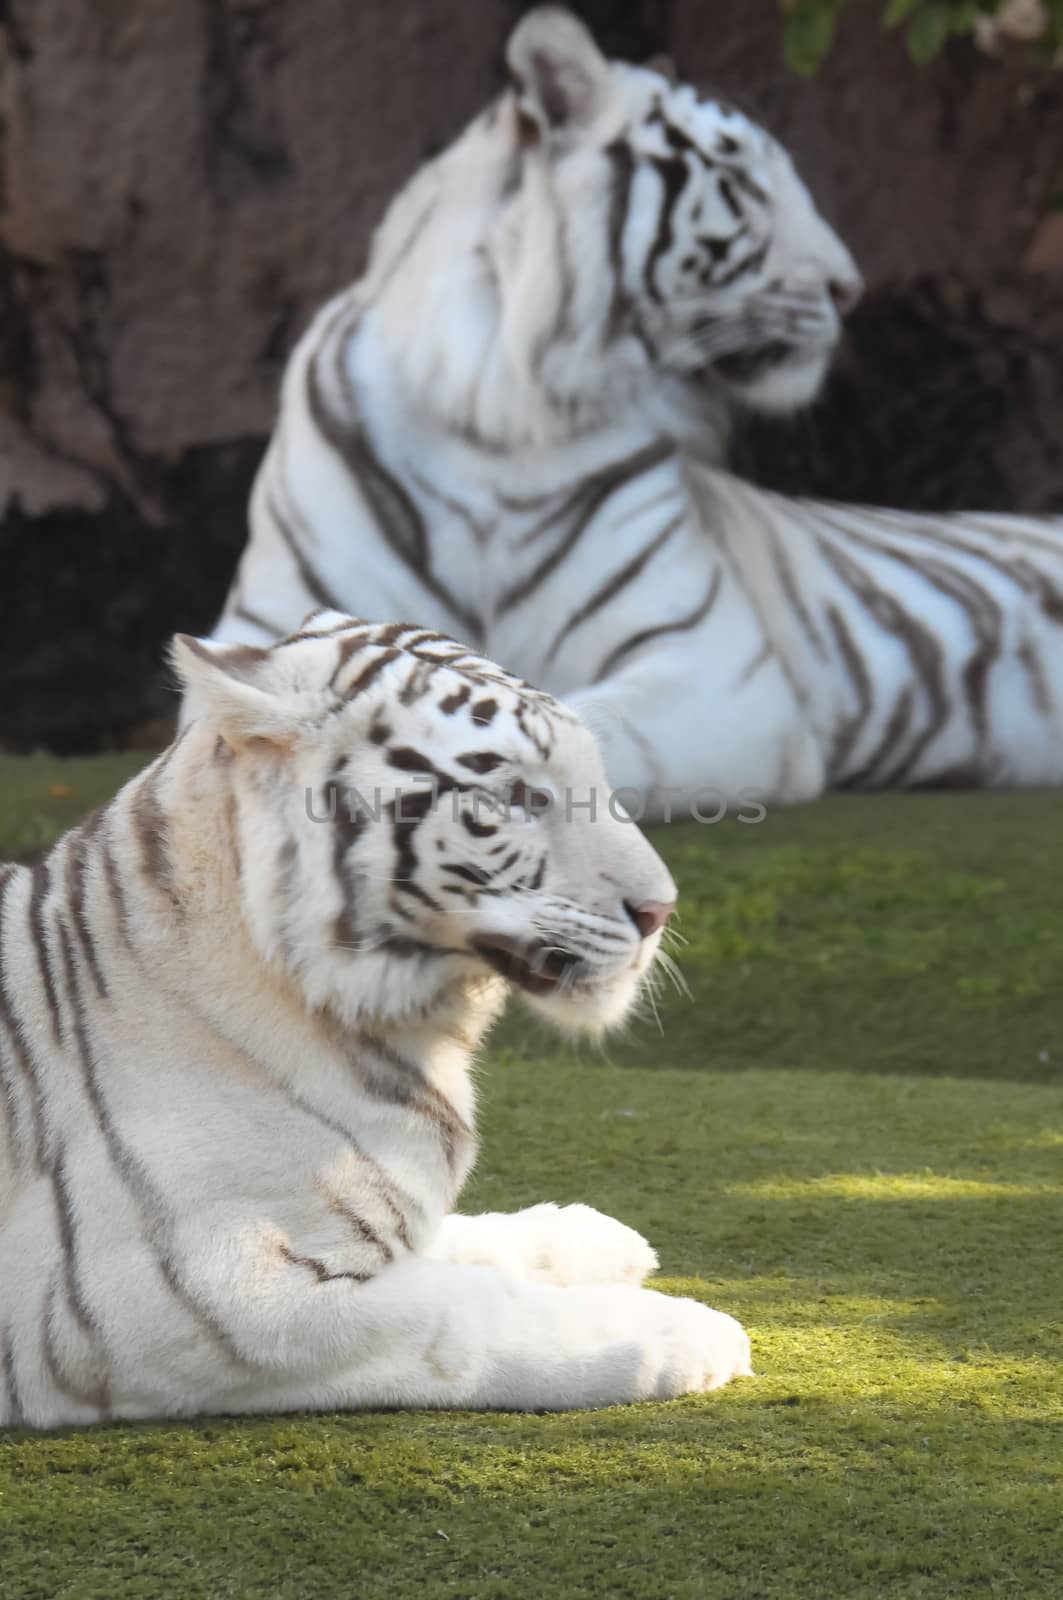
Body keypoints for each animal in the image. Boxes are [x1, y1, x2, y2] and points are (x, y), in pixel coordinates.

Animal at [0, 608, 752, 1427]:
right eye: (516, 795)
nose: (661, 910)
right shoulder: (185, 1302)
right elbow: (468, 1312)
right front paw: (691, 1331)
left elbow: (458, 1239)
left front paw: (589, 1236)